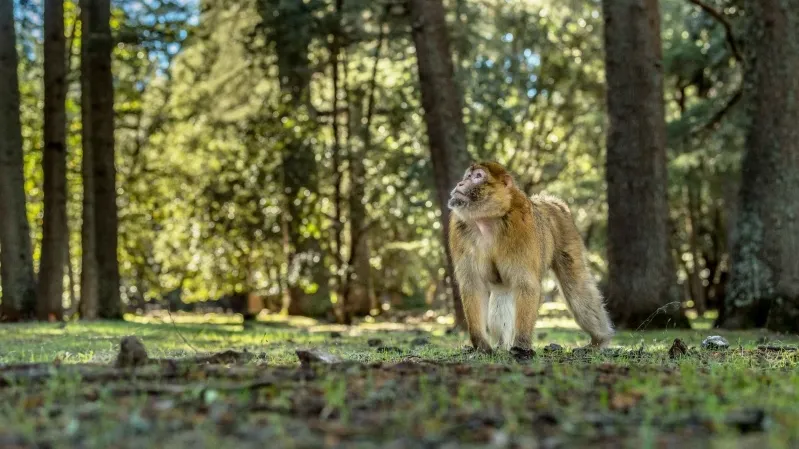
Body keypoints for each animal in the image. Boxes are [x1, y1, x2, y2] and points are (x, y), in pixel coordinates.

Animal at [448, 161, 614, 354]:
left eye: (478, 176)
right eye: (468, 176)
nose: (460, 183)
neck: (489, 219)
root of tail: (551, 201)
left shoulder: (521, 229)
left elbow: (526, 284)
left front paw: (521, 346)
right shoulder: (461, 232)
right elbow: (473, 286)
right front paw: (481, 345)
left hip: (568, 238)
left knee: (577, 291)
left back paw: (599, 340)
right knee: (502, 292)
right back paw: (502, 345)